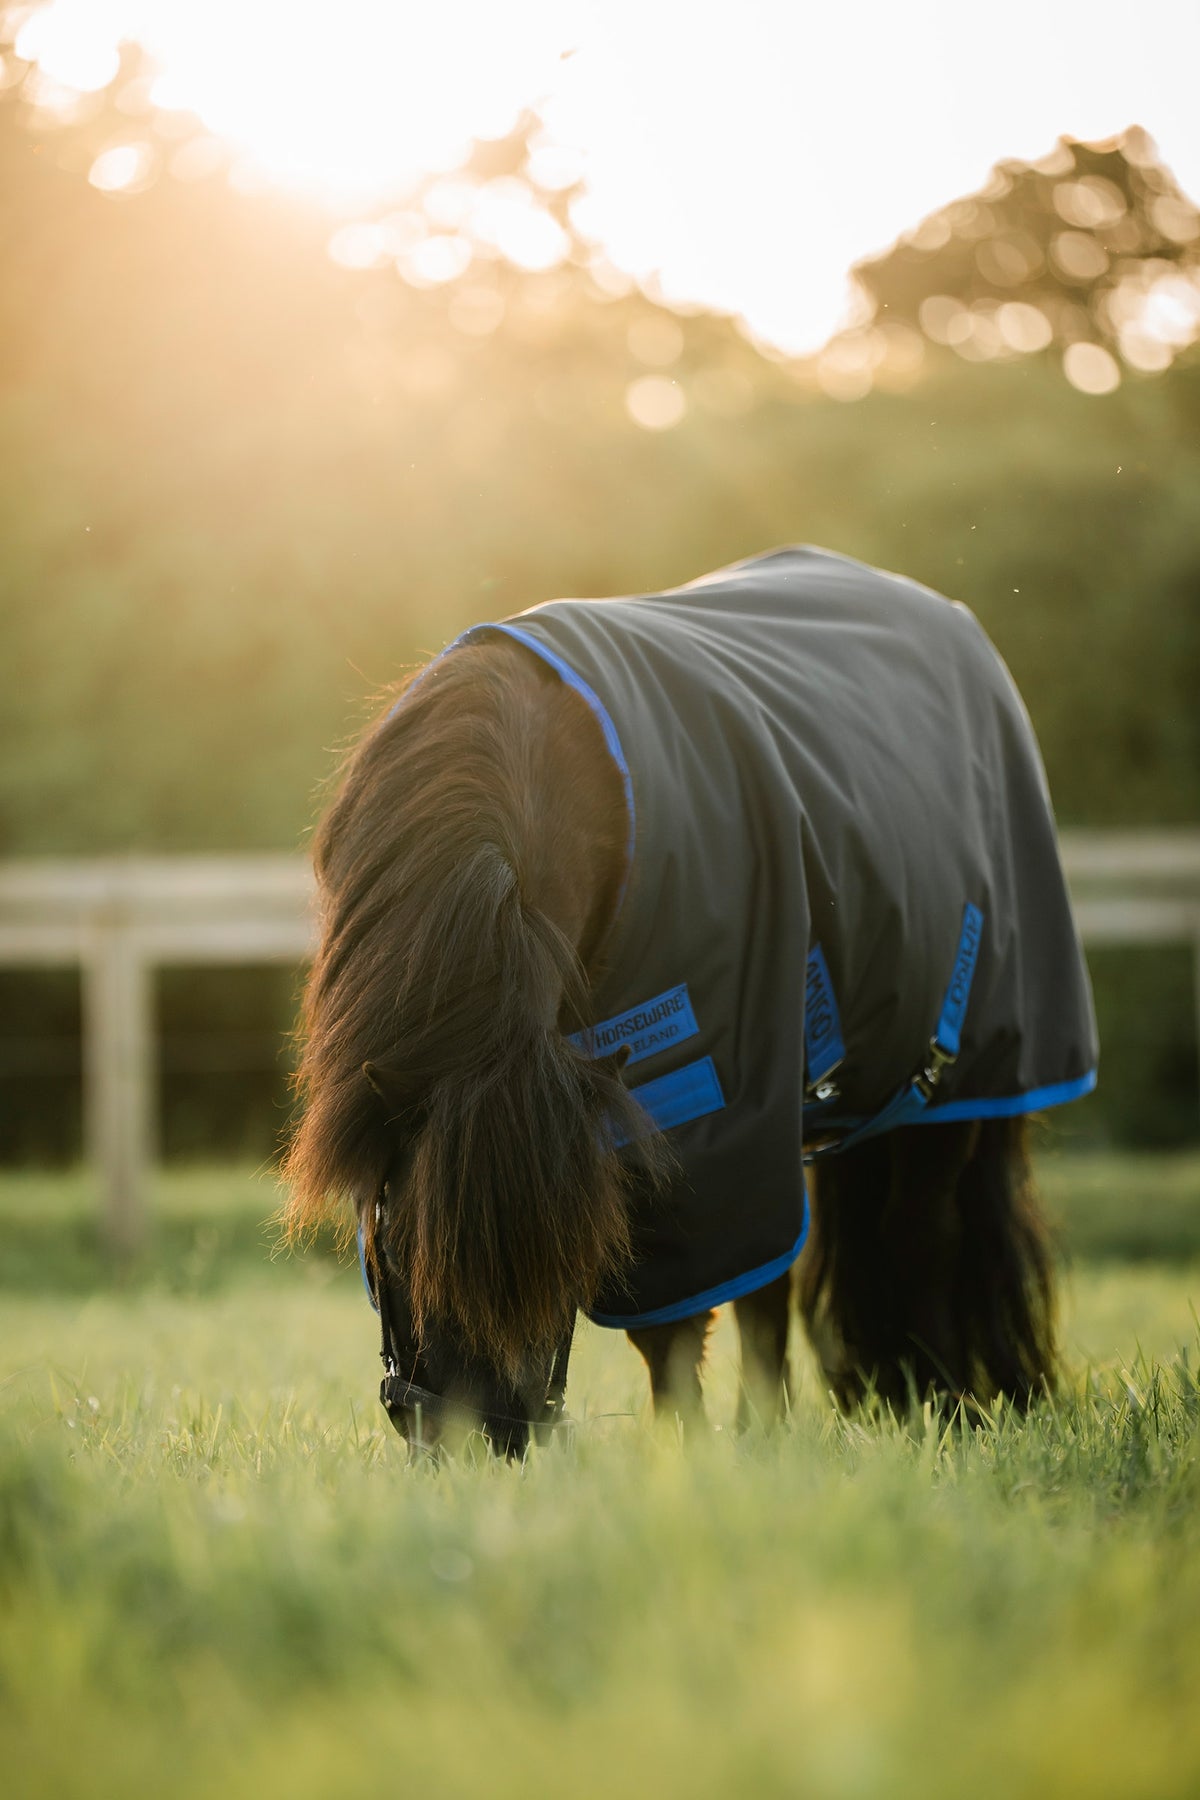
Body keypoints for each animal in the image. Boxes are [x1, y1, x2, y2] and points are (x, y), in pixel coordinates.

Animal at [282, 547, 1098, 1455]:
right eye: (393, 1239)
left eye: (566, 1250)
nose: (482, 1440)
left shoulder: (700, 1100)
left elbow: (672, 1324)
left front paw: (685, 1458)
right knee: (783, 1272)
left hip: (948, 1092)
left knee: (921, 1234)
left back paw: (942, 1404)